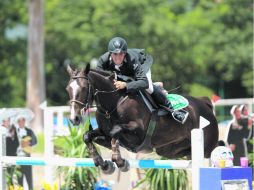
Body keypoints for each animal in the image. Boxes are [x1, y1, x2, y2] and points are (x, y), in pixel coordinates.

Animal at [66, 63, 218, 174]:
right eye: (68, 89)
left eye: (84, 88)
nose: (74, 118)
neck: (113, 104)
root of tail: (204, 102)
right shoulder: (104, 133)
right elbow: (87, 136)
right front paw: (104, 165)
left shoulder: (138, 131)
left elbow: (116, 131)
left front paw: (120, 162)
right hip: (170, 150)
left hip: (207, 149)